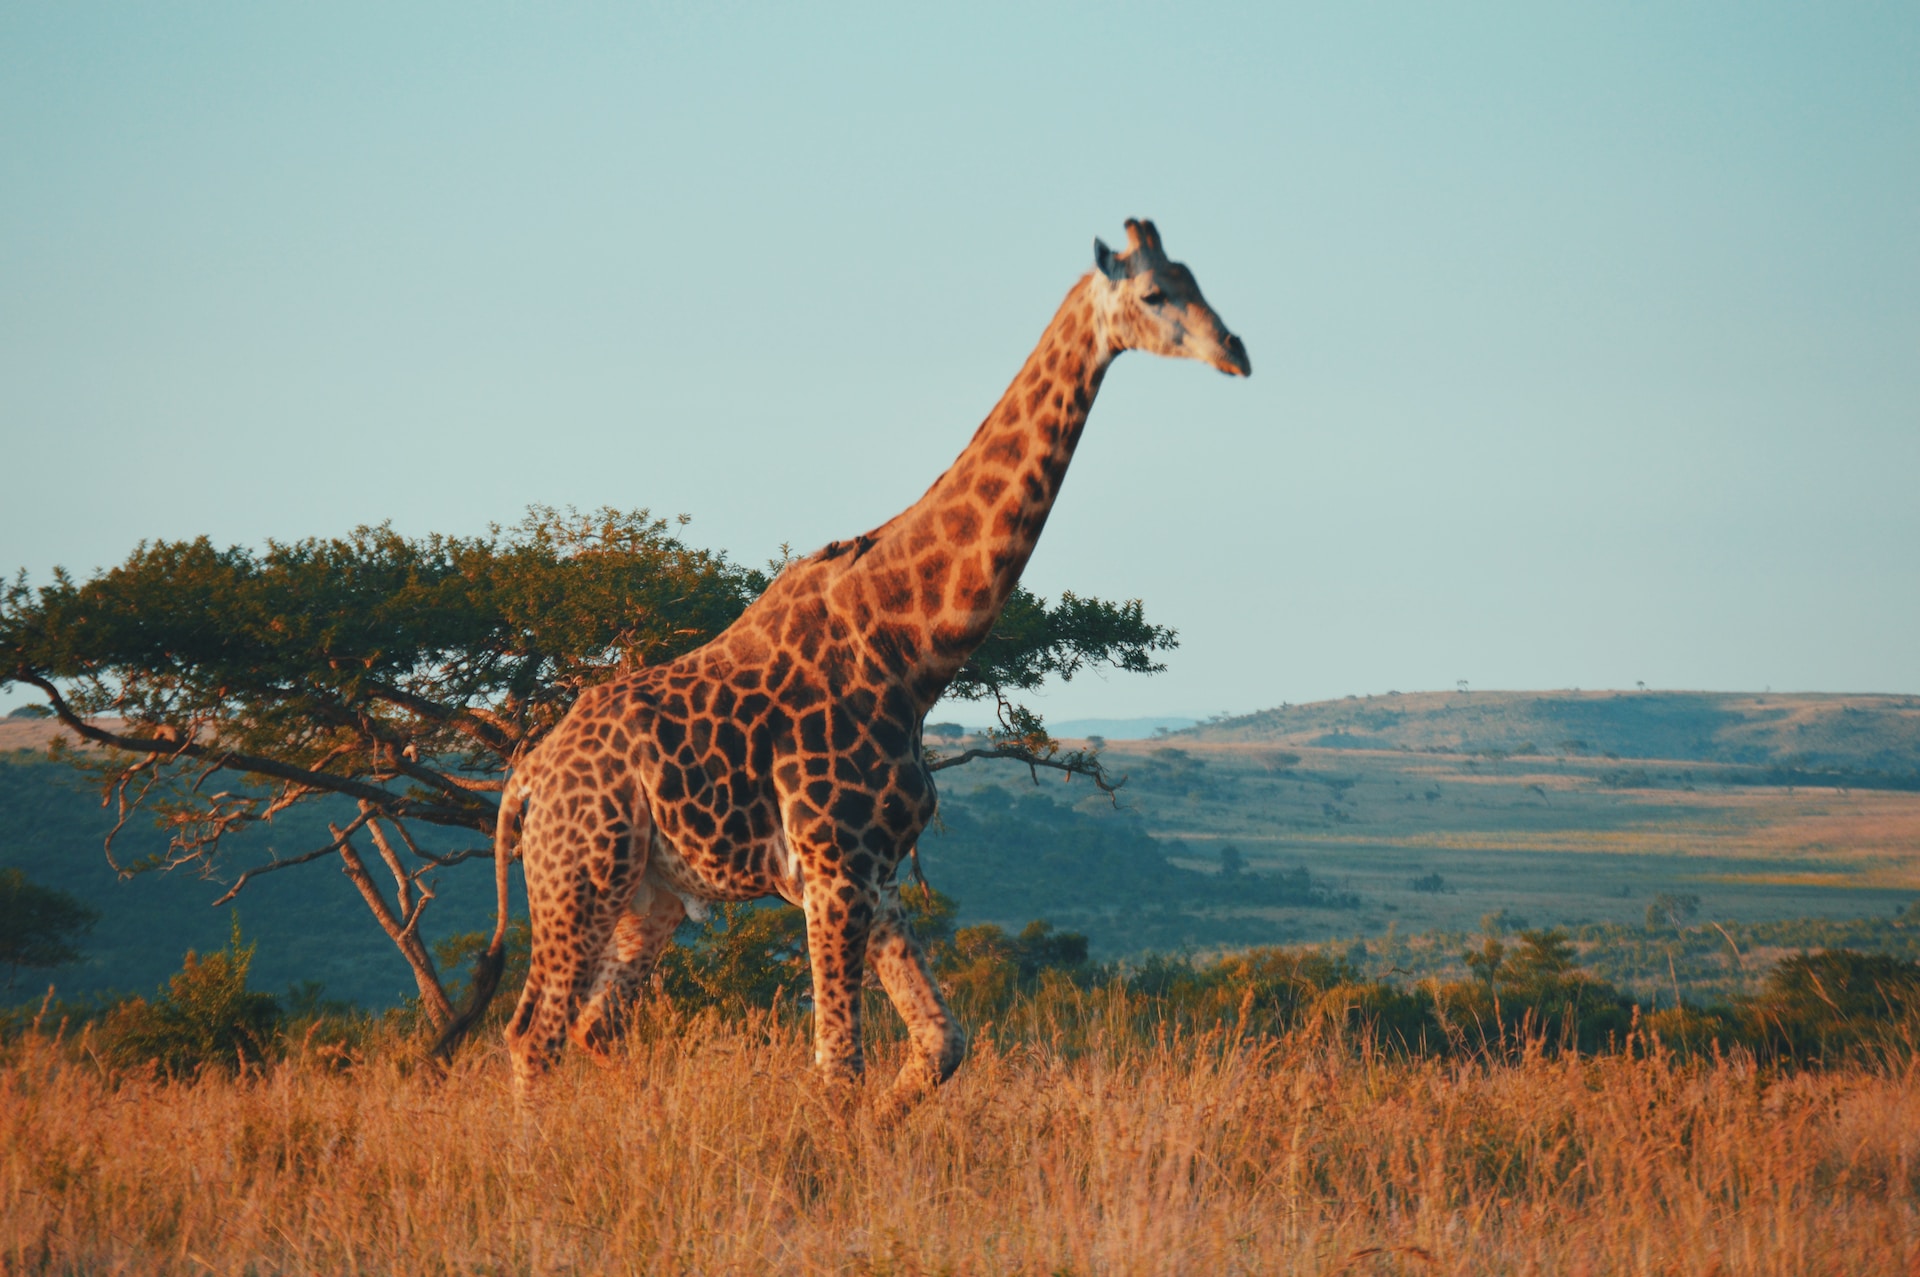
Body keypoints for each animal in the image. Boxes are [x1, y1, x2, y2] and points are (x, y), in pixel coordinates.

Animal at [449, 218, 1251, 1106]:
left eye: (1197, 278)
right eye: (1154, 292)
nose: (1237, 352)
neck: (913, 649)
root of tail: (524, 780)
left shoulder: (873, 870)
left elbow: (942, 1042)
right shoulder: (833, 867)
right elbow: (840, 1067)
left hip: (647, 894)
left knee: (595, 1026)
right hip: (579, 875)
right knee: (534, 1033)